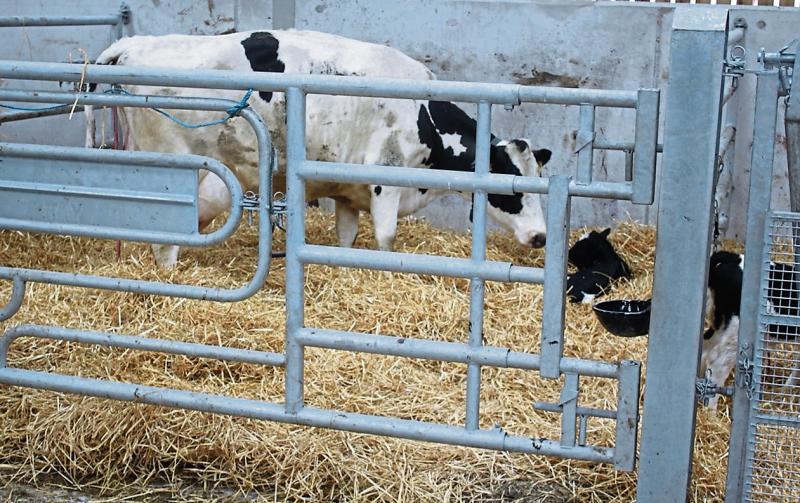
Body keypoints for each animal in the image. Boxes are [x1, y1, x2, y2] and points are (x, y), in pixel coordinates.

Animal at [86, 30, 553, 267]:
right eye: (513, 190)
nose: (541, 237)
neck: (422, 116)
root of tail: (134, 43)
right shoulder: (386, 182)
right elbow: (386, 240)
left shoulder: (347, 190)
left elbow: (346, 239)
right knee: (165, 238)